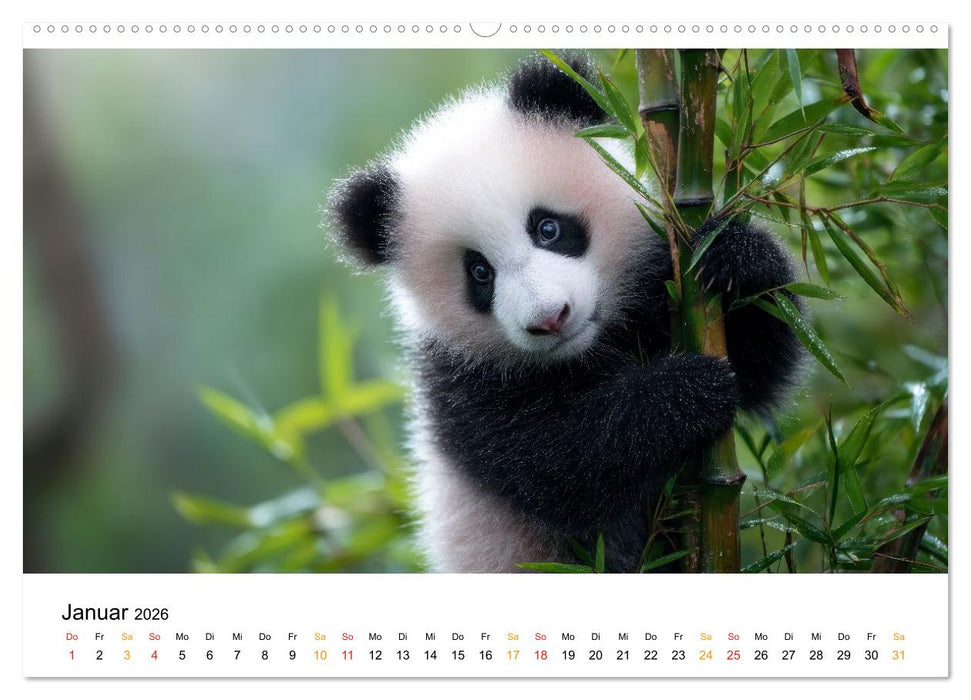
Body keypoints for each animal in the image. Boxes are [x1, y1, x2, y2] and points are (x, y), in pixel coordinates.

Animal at [326, 53, 804, 573]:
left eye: (548, 228)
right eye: (479, 272)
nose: (550, 318)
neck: (591, 350)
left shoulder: (660, 283)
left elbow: (760, 368)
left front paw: (737, 257)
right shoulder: (459, 385)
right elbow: (559, 464)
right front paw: (686, 390)